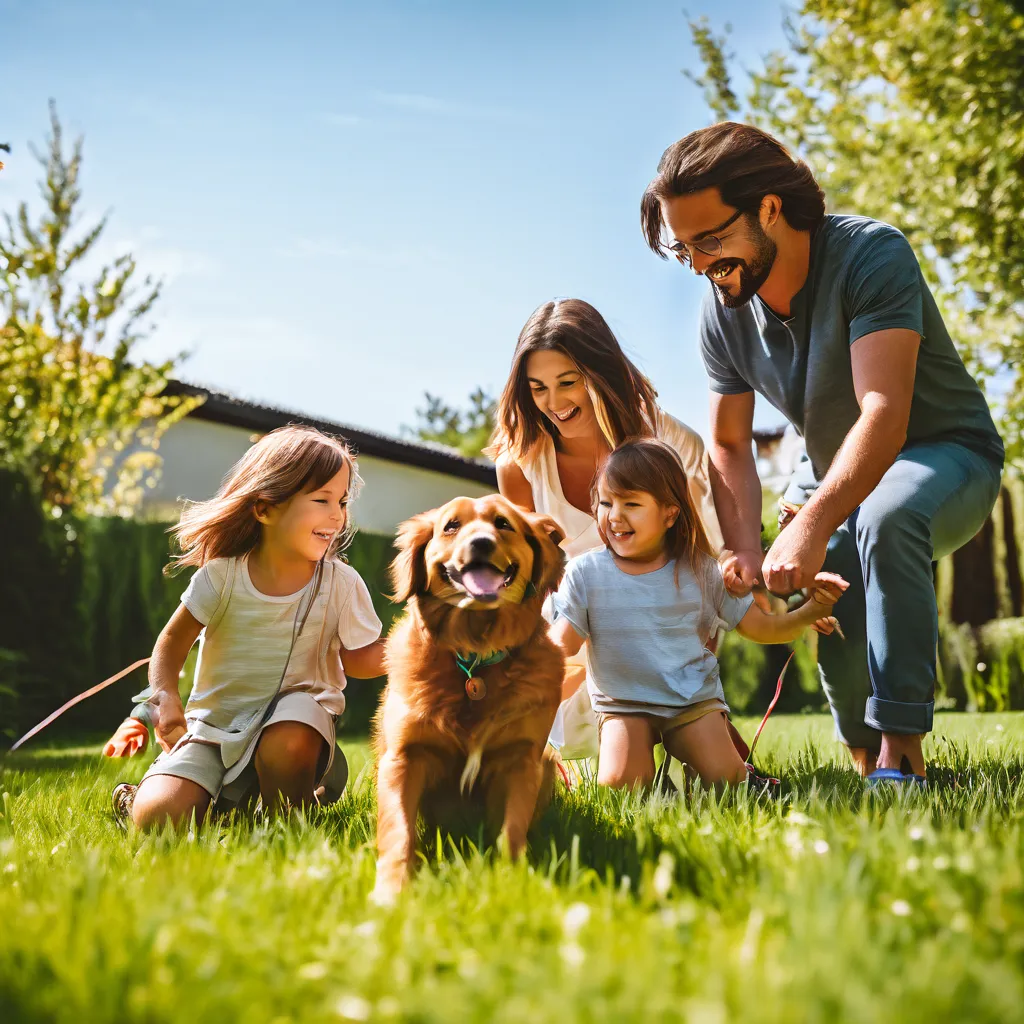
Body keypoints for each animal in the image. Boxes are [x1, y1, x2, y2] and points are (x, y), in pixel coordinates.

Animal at [374, 495, 569, 905]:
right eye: (451, 525)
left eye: (503, 523)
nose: (481, 543)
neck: (475, 654)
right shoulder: (403, 757)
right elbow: (398, 831)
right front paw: (391, 892)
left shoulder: (521, 759)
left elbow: (512, 832)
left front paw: (512, 884)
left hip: (547, 762)